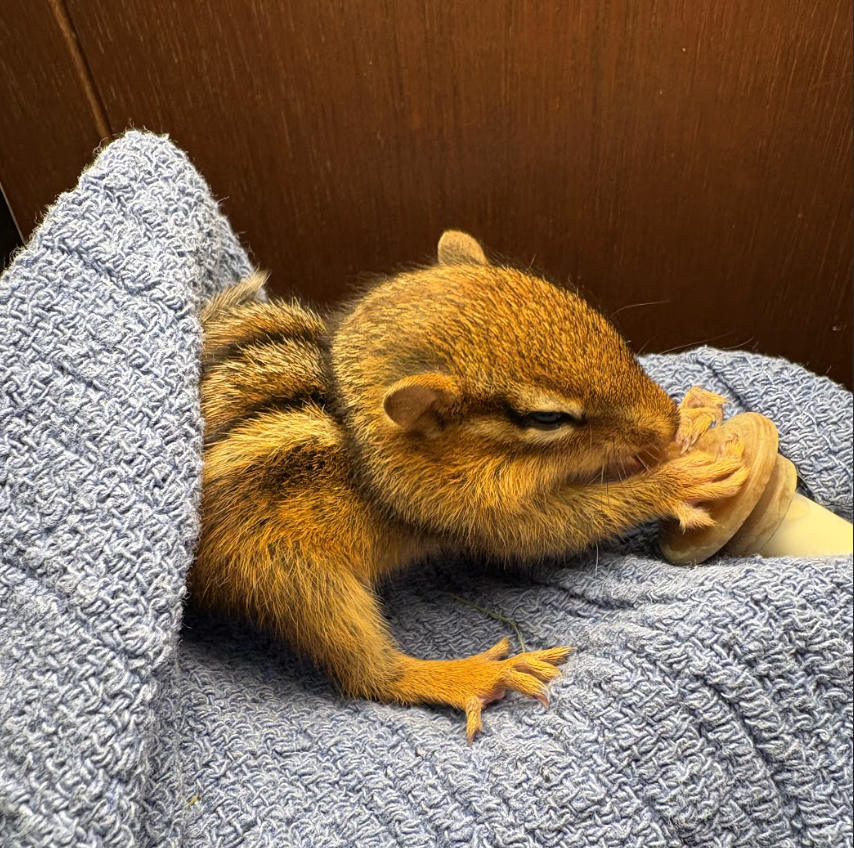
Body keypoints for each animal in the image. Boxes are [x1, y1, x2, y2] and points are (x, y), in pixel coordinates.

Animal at [191, 230, 747, 742]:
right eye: (547, 418)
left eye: (602, 325)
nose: (665, 424)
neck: (357, 430)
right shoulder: (475, 513)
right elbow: (567, 524)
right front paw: (675, 481)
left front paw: (691, 423)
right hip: (292, 577)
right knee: (371, 676)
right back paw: (477, 675)